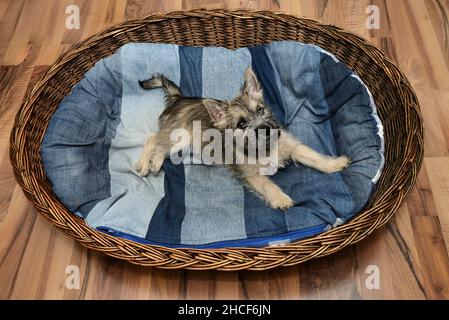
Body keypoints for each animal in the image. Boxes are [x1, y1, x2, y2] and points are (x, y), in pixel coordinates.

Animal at [136, 67, 350, 210]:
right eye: (240, 124)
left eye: (261, 109)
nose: (265, 129)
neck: (264, 148)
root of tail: (179, 99)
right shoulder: (251, 174)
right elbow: (267, 184)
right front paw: (281, 199)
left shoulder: (291, 145)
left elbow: (312, 155)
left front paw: (334, 164)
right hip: (182, 138)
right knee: (154, 139)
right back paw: (147, 163)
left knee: (157, 139)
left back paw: (152, 162)